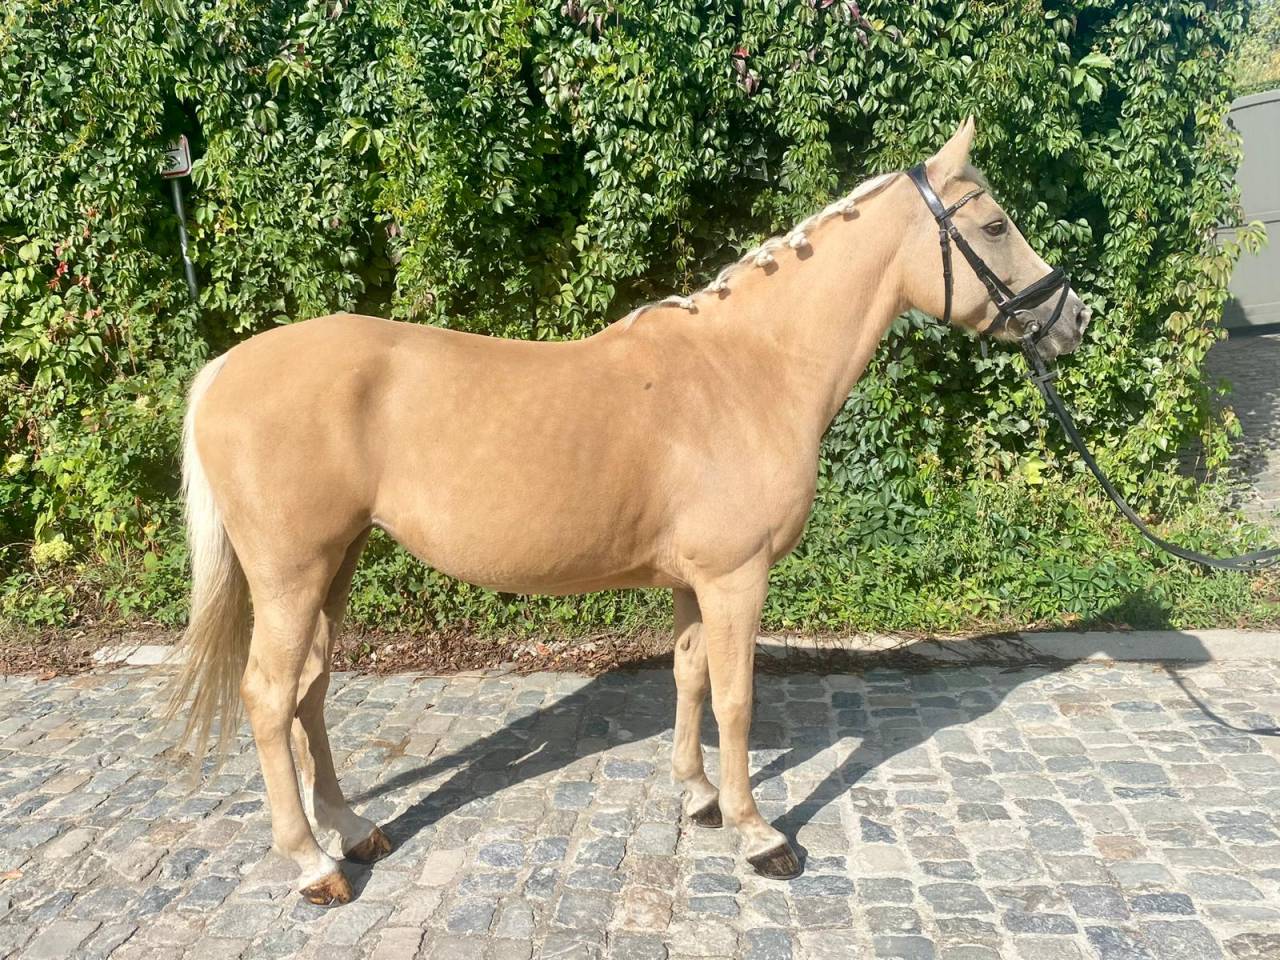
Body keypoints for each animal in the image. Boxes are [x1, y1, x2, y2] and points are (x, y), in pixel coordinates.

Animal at [167, 117, 1089, 905]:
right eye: (996, 225)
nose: (1071, 319)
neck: (748, 370)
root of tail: (221, 370)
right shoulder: (736, 577)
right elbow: (735, 700)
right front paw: (758, 834)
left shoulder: (694, 581)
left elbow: (688, 677)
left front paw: (698, 799)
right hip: (291, 573)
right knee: (269, 695)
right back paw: (311, 862)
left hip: (337, 563)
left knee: (311, 690)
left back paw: (352, 829)